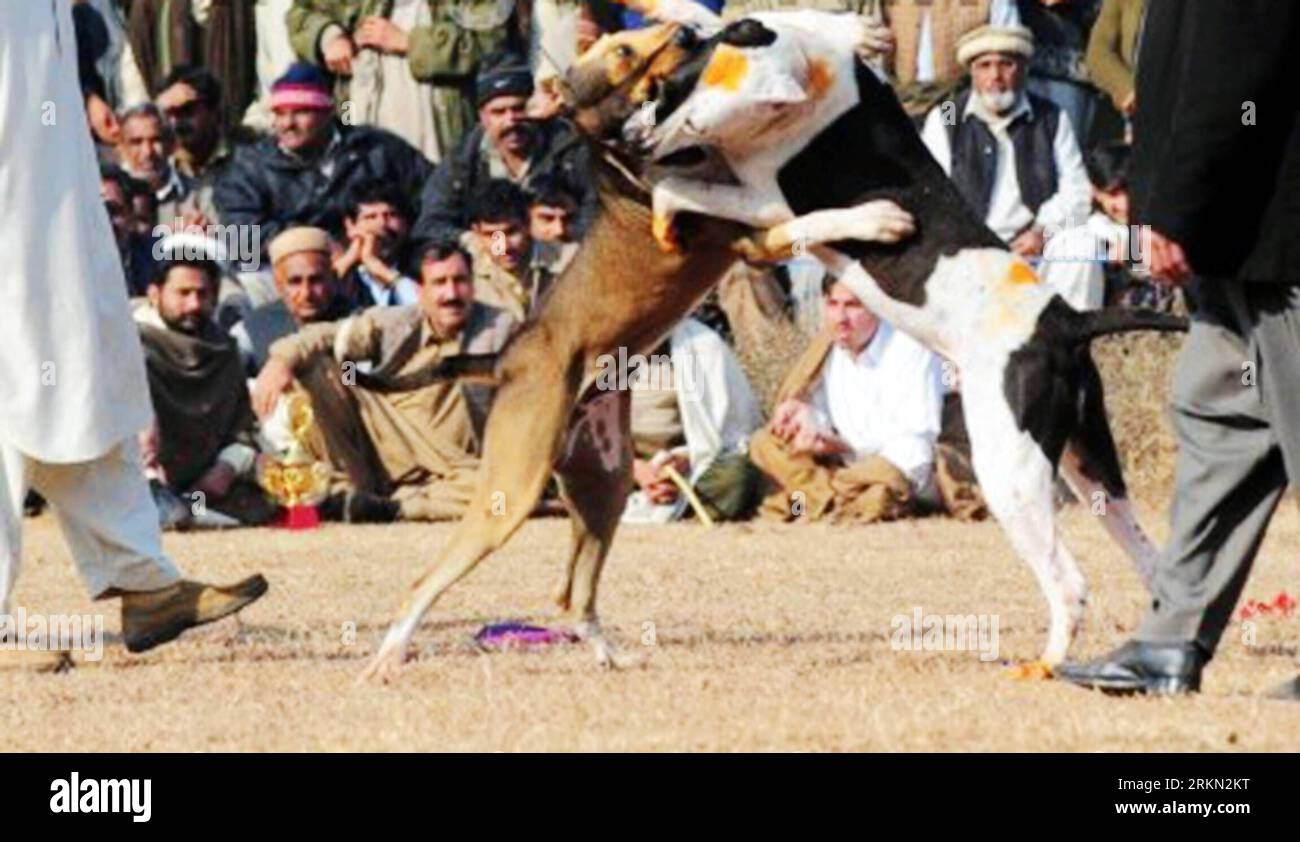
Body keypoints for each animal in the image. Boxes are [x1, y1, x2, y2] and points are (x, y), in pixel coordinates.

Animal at [603, 1, 1185, 670]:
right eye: (659, 87)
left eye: (676, 97)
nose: (626, 138)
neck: (816, 80)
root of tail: (1068, 319)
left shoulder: (764, 199)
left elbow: (685, 190)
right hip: (1090, 467)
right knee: (1150, 561)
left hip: (1010, 469)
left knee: (1069, 582)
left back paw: (1046, 663)